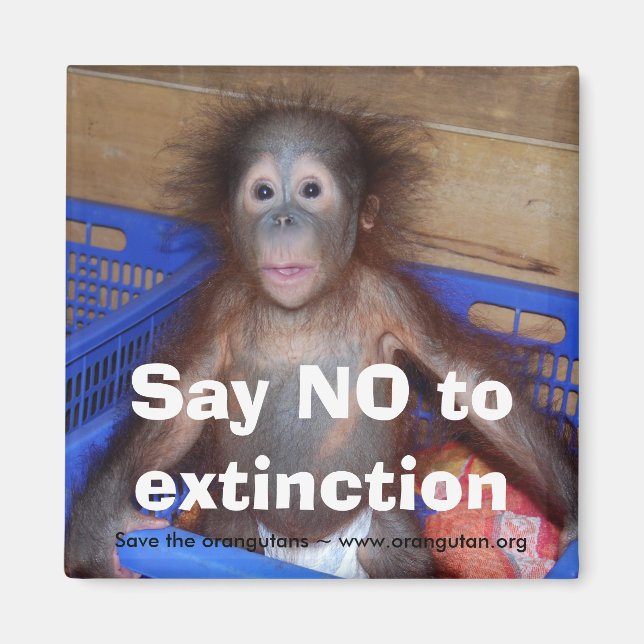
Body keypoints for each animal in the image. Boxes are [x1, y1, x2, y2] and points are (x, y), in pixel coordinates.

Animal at [64, 90, 577, 578]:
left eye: (311, 190)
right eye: (264, 192)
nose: (283, 219)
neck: (301, 312)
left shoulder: (393, 297)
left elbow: (468, 378)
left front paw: (572, 521)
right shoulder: (222, 306)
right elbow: (183, 398)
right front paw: (97, 528)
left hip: (377, 526)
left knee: (400, 557)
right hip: (238, 522)